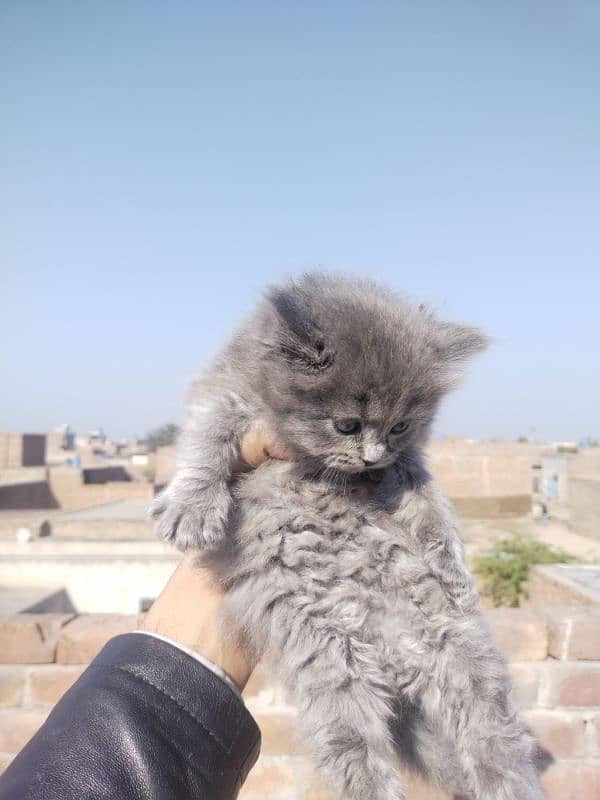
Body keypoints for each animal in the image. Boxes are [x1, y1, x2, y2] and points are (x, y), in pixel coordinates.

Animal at [150, 276, 544, 800]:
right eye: (347, 425)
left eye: (400, 426)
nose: (373, 456)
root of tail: (399, 666)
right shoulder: (225, 392)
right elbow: (205, 442)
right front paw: (191, 507)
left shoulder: (406, 463)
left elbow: (433, 506)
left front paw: (454, 573)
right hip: (335, 680)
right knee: (360, 758)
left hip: (466, 664)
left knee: (495, 746)